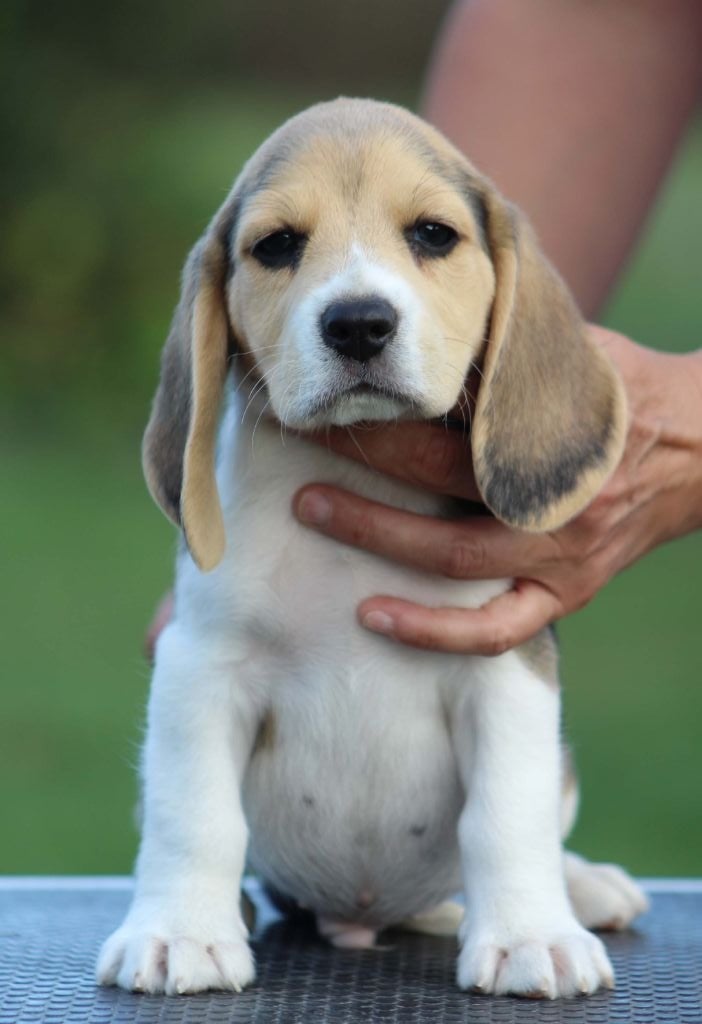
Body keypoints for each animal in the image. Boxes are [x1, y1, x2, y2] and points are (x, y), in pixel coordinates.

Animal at [97, 99, 650, 995]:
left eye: (432, 234)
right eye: (277, 245)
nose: (358, 323)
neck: (356, 466)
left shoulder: (504, 670)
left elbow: (507, 816)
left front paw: (531, 936)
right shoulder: (200, 665)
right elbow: (195, 814)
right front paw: (180, 930)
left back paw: (584, 887)